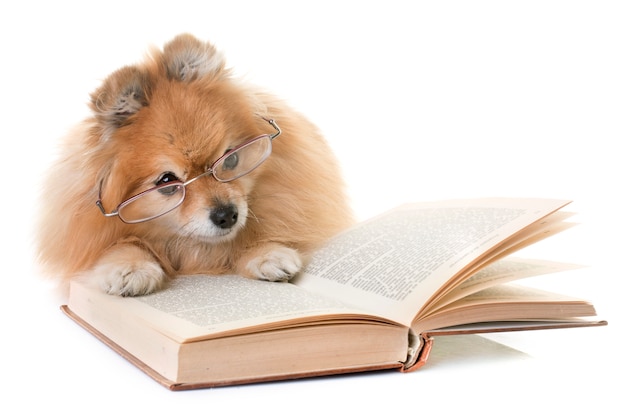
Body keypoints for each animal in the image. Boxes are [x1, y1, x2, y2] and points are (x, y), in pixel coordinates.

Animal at [36, 33, 354, 294]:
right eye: (167, 182)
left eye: (231, 158)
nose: (227, 215)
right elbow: (121, 243)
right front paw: (130, 267)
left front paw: (268, 253)